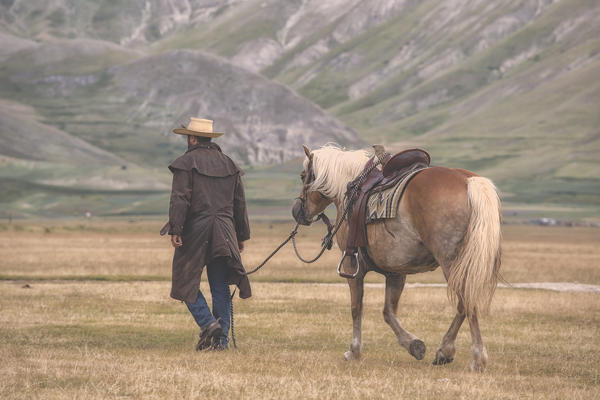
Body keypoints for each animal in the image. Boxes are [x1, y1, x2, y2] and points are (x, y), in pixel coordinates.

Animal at [290, 144, 502, 372]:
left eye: (302, 176)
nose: (296, 211)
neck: (350, 190)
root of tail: (468, 181)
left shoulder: (352, 265)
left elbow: (357, 308)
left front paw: (354, 351)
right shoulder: (396, 271)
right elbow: (388, 311)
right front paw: (414, 345)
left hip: (451, 262)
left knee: (466, 300)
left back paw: (475, 358)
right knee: (464, 304)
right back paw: (445, 351)